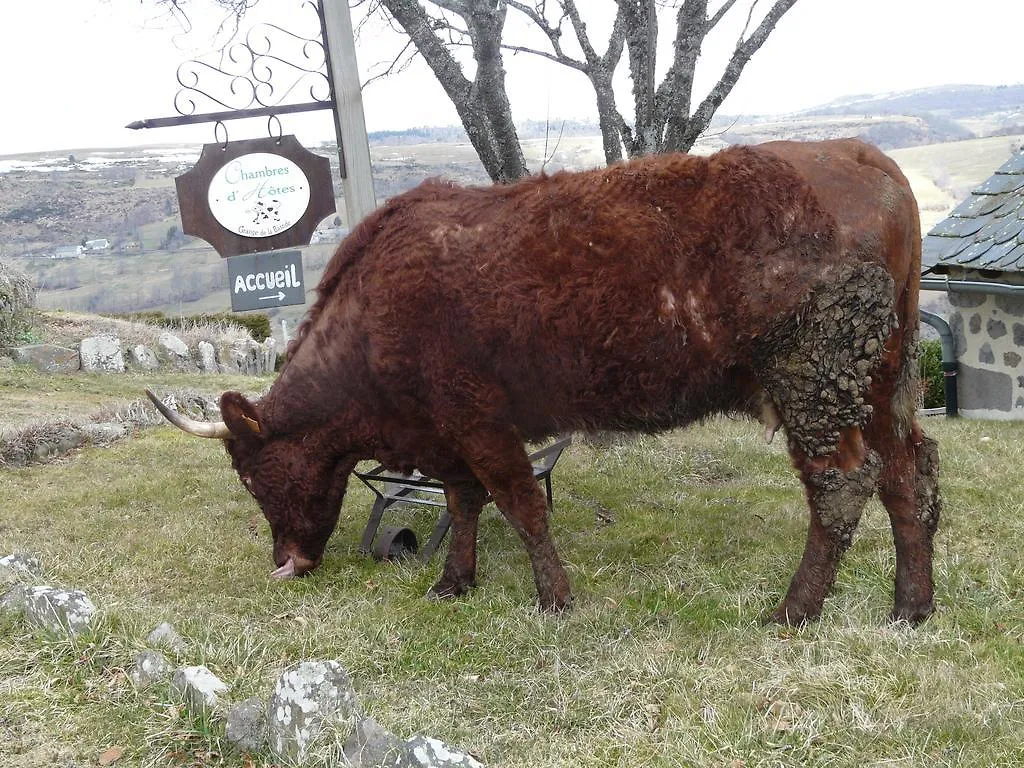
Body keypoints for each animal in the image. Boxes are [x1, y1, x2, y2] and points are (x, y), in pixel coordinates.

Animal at [148, 140, 937, 626]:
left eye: (254, 476)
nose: (288, 564)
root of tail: (863, 156)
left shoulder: (476, 419)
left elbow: (521, 503)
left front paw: (554, 599)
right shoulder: (444, 433)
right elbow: (464, 503)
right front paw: (454, 582)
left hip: (814, 381)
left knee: (843, 483)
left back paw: (795, 610)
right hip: (881, 378)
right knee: (909, 474)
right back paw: (911, 606)